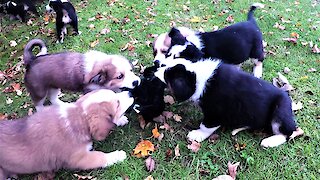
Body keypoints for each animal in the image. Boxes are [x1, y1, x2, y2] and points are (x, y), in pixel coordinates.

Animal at [0, 89, 134, 179]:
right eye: (117, 103)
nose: (131, 93)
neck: (78, 117)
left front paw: (121, 120)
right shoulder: (80, 158)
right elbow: (100, 156)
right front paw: (118, 155)